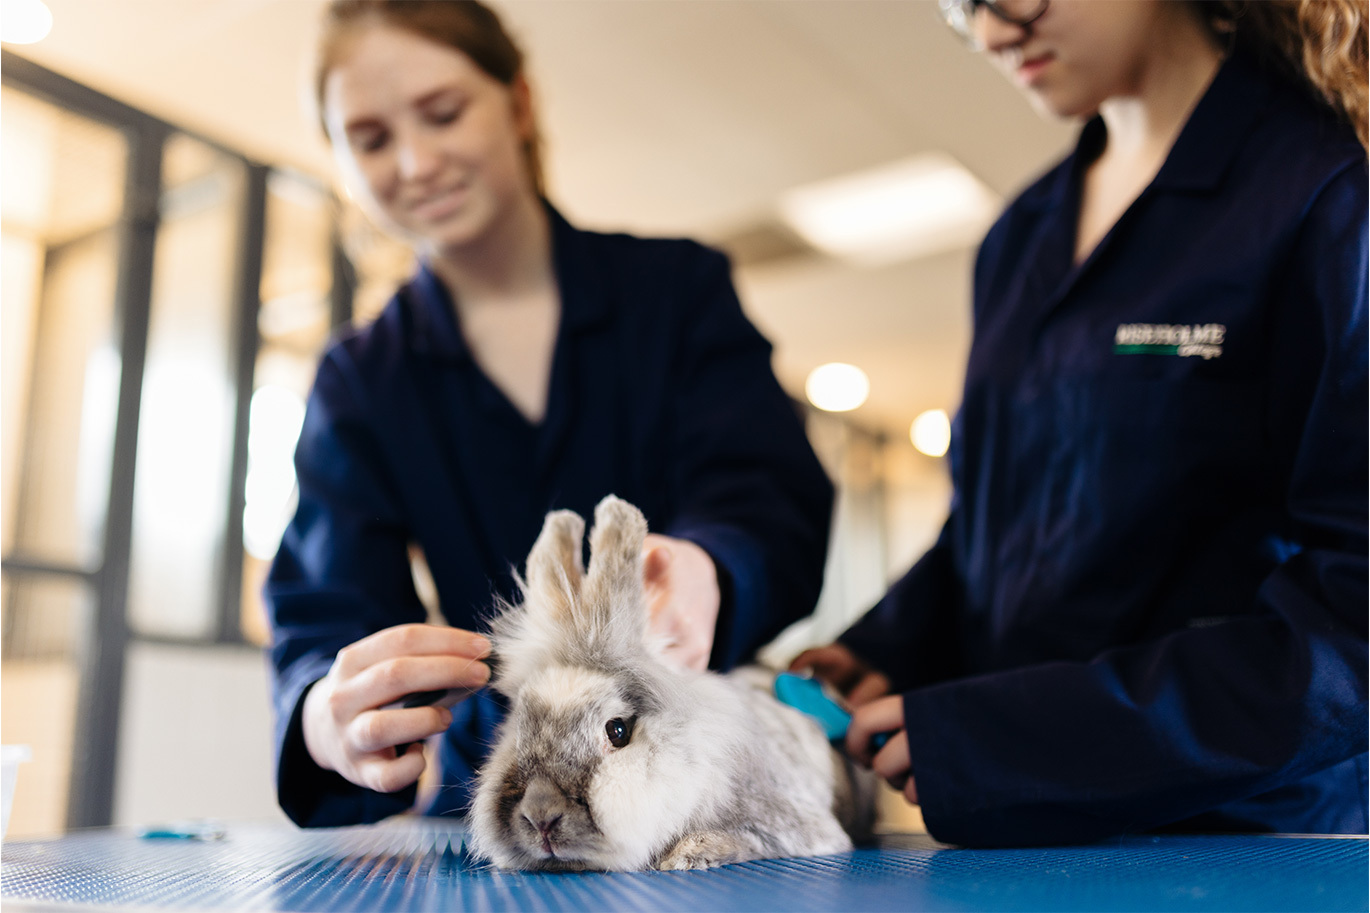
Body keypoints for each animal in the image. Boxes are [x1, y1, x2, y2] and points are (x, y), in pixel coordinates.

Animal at [467, 494, 877, 871]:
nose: (540, 816)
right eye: (519, 725)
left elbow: (754, 839)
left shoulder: (792, 822)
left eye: (617, 730)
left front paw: (689, 852)